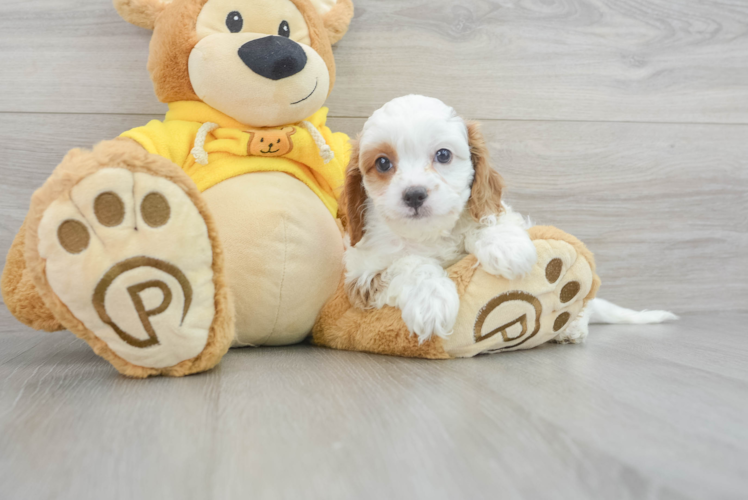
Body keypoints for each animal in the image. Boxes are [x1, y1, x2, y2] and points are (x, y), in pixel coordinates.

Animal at [338, 95, 536, 342]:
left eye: (443, 155)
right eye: (382, 163)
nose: (414, 194)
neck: (428, 234)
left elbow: (488, 218)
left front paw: (506, 246)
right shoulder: (362, 274)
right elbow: (411, 264)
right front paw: (431, 299)